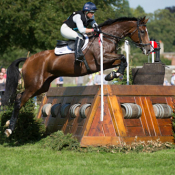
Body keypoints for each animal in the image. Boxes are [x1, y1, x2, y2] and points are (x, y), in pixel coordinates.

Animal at [2, 16, 153, 137]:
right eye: (142, 31)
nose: (149, 49)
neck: (107, 38)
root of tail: (28, 59)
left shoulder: (107, 61)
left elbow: (123, 60)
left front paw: (113, 74)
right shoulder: (101, 59)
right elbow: (122, 56)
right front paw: (113, 74)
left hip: (42, 86)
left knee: (19, 97)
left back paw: (8, 122)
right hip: (34, 85)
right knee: (19, 101)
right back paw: (10, 129)